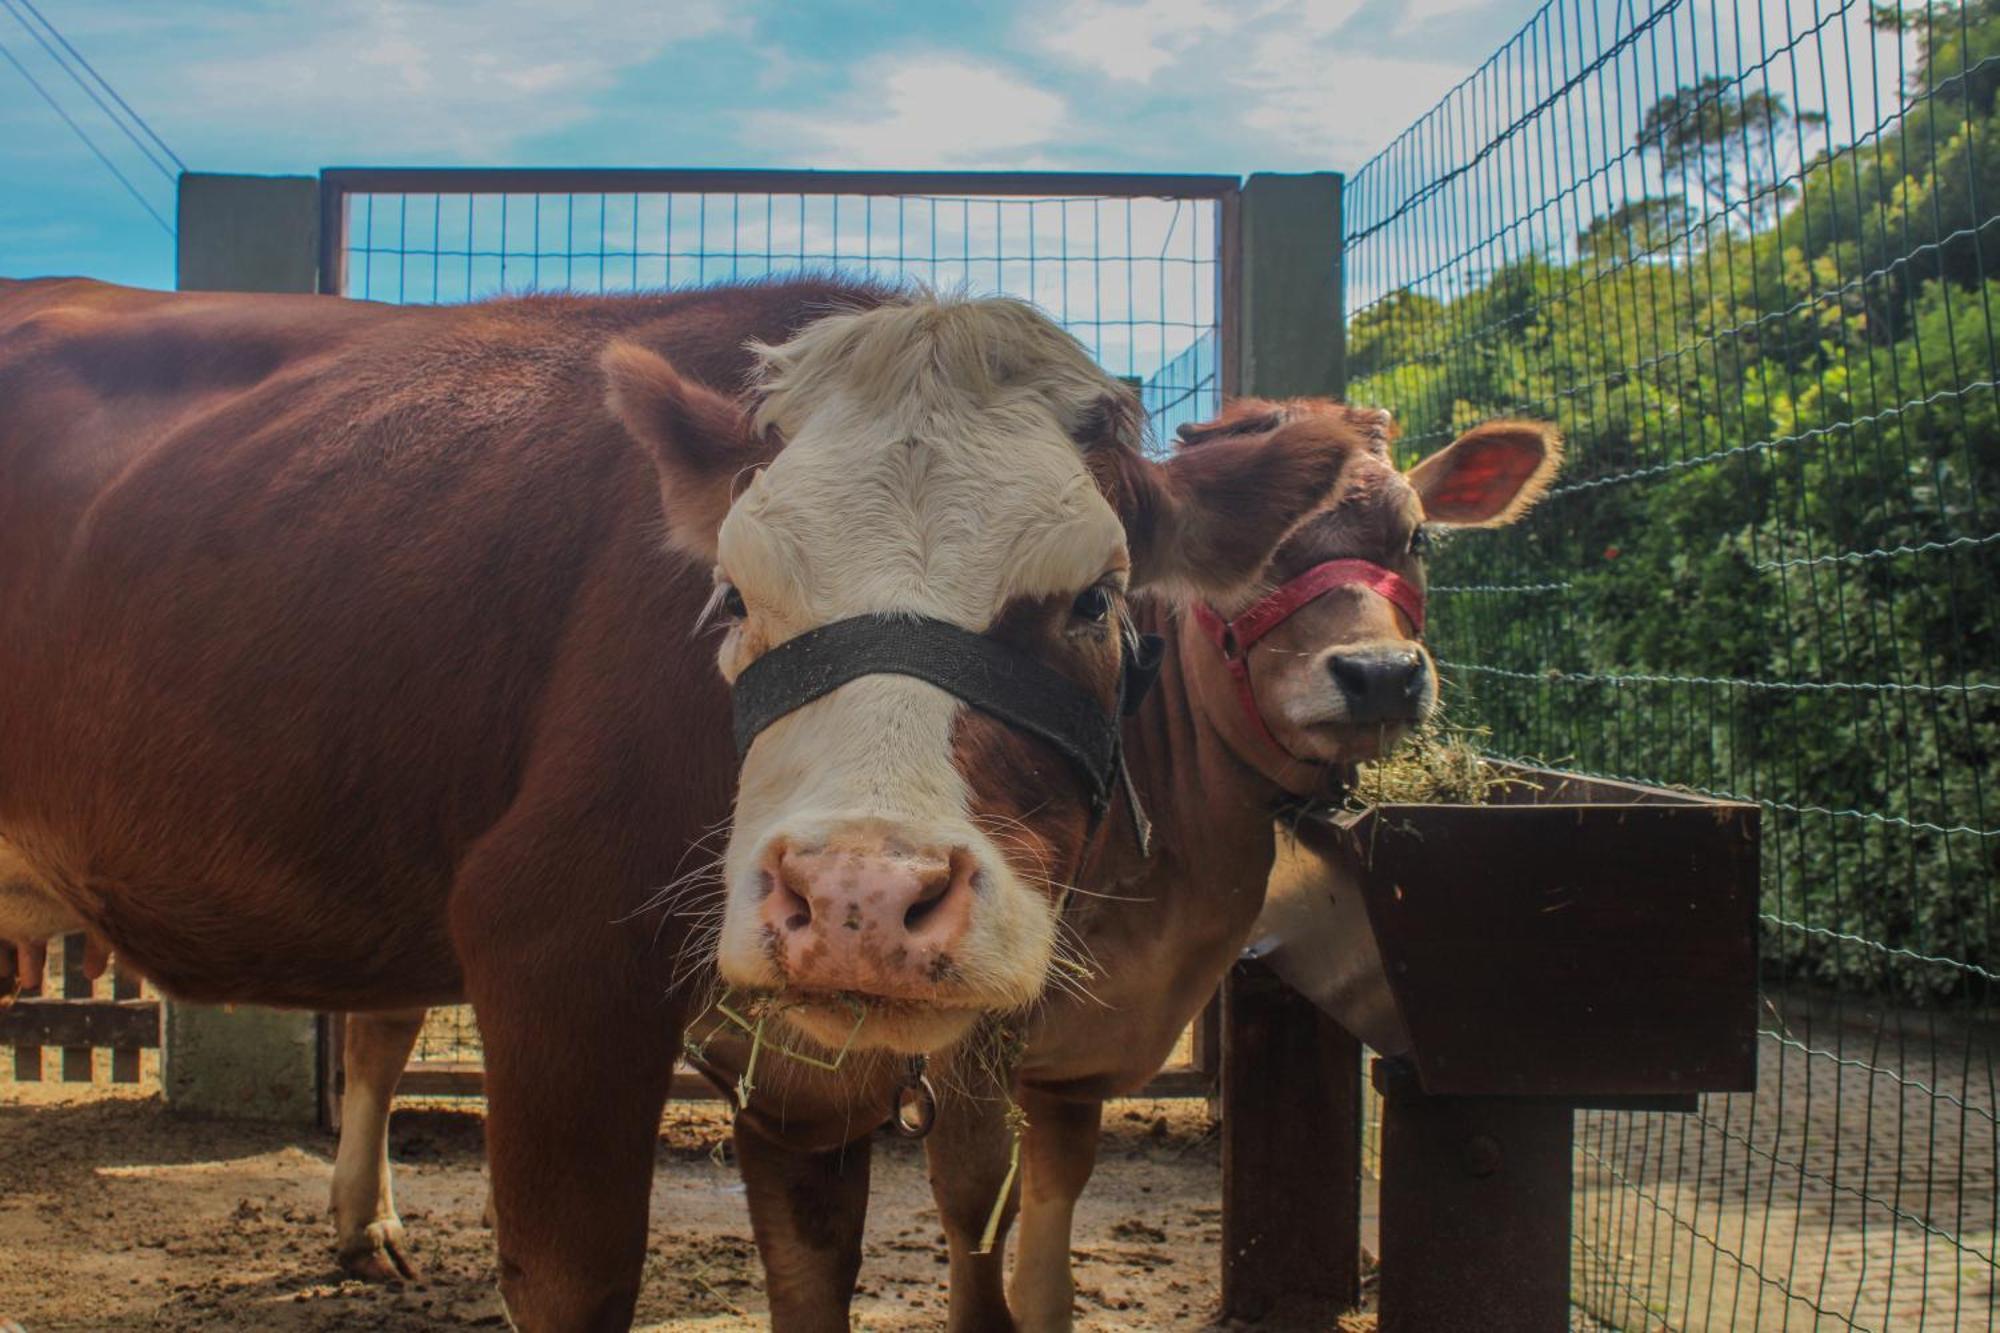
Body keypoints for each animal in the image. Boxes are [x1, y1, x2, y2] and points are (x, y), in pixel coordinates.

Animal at [0, 274, 1352, 1320]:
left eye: (1092, 598)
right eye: (735, 593)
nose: (857, 897)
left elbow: (846, 1259)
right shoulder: (547, 942)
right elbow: (574, 1277)